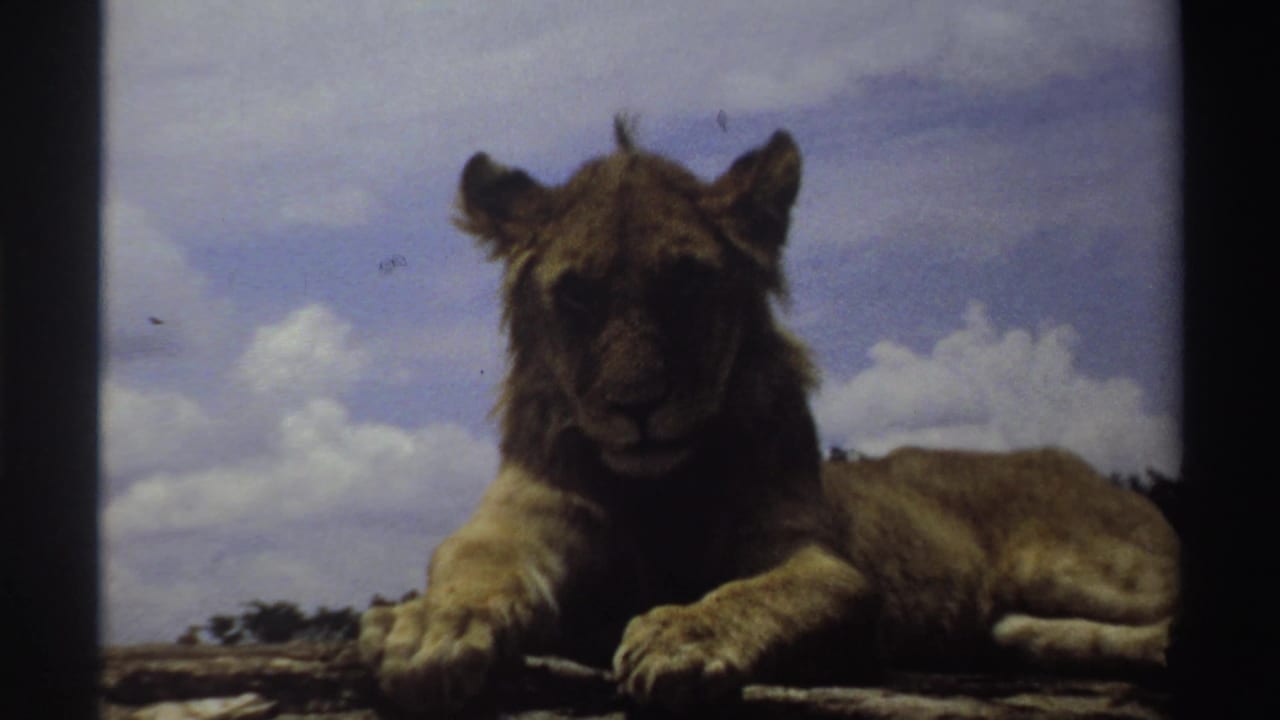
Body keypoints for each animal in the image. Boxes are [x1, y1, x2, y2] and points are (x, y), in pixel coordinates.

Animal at [358, 118, 1179, 713]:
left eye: (688, 285)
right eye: (578, 294)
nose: (637, 406)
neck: (655, 488)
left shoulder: (820, 561)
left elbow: (764, 592)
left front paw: (681, 635)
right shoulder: (519, 520)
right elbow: (473, 567)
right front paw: (427, 625)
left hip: (1083, 563)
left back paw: (1030, 633)